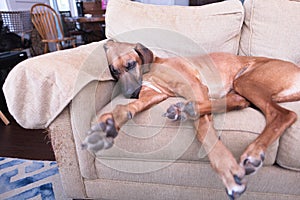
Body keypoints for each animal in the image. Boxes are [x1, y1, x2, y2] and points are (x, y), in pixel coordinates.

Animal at [82, 39, 300, 199]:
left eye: (130, 64)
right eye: (114, 71)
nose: (130, 94)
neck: (151, 68)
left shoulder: (193, 87)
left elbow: (204, 130)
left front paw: (227, 170)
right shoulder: (153, 95)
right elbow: (125, 108)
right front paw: (109, 122)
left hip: (245, 80)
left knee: (284, 114)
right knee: (240, 101)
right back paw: (184, 109)